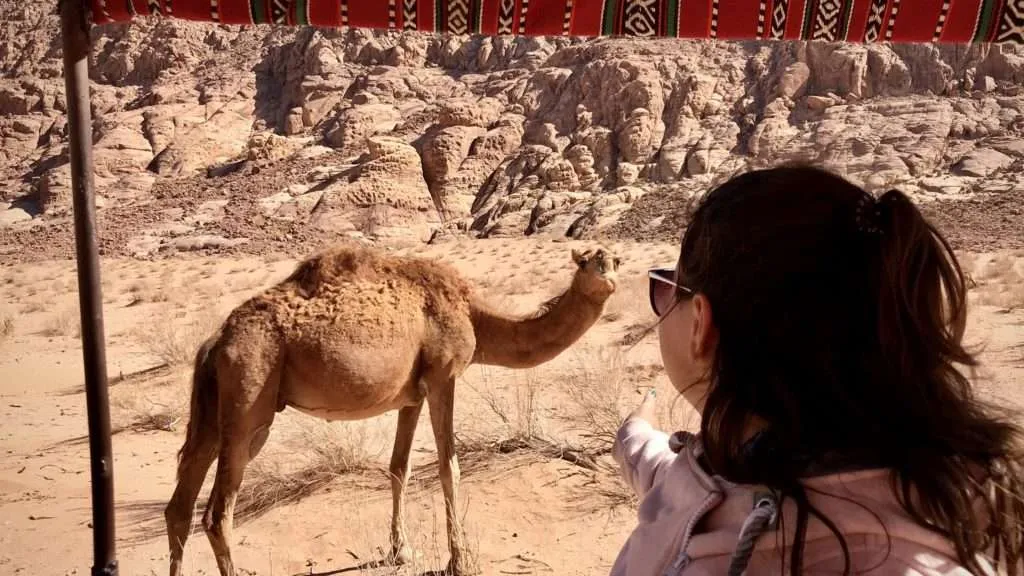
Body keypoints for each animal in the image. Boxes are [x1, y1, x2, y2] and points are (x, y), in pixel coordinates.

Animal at [164, 243, 620, 576]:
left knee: (180, 504)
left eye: (613, 259)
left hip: (214, 408)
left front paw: (402, 551)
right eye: (590, 263)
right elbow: (448, 469)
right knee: (216, 513)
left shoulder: (412, 395)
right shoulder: (443, 376)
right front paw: (459, 560)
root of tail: (216, 341)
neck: (475, 315)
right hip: (250, 396)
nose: (611, 277)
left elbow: (399, 467)